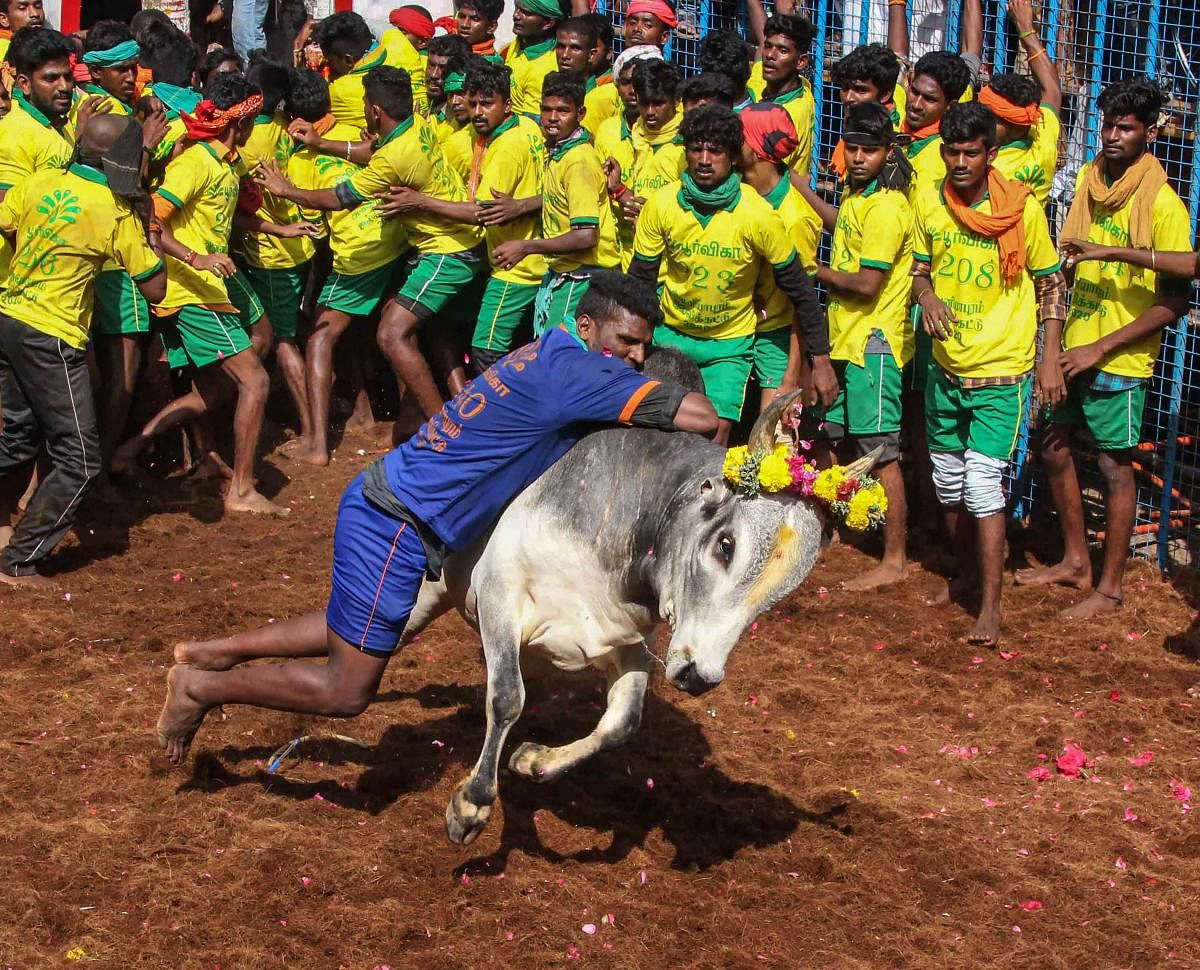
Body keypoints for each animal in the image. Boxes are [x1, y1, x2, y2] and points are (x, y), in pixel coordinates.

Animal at [403, 352, 883, 845]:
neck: (628, 513)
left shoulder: (633, 641)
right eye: (725, 544)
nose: (699, 675)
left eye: (783, 593)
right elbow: (506, 697)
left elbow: (622, 723)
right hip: (427, 591)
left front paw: (533, 759)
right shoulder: (500, 591)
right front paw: (471, 805)